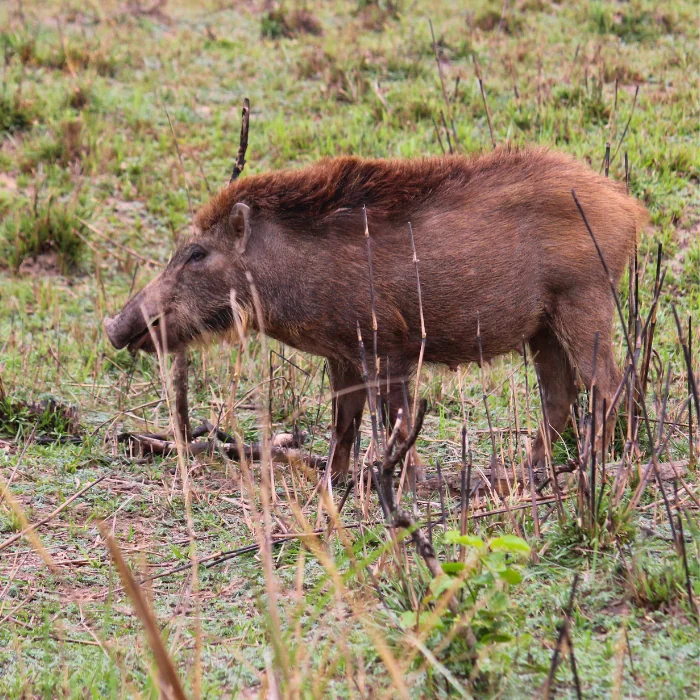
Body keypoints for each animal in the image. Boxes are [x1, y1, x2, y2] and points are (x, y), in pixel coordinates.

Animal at [104, 146, 648, 481]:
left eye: (197, 253)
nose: (115, 327)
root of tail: (628, 207)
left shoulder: (388, 347)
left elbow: (396, 421)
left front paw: (407, 481)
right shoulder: (344, 355)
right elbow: (345, 420)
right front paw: (333, 478)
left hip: (584, 301)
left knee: (609, 383)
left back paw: (591, 468)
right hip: (543, 327)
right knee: (561, 396)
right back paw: (523, 470)